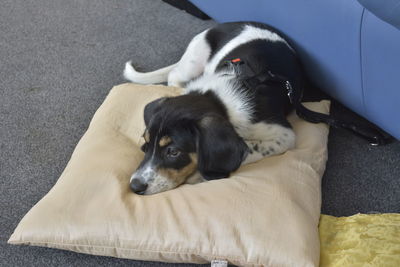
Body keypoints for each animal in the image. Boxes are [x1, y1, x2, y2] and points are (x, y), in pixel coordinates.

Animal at [123, 22, 304, 196]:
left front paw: (199, 175)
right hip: (194, 60)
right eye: (146, 142)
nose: (135, 186)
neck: (218, 100)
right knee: (174, 75)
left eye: (173, 152)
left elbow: (249, 149)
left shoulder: (284, 135)